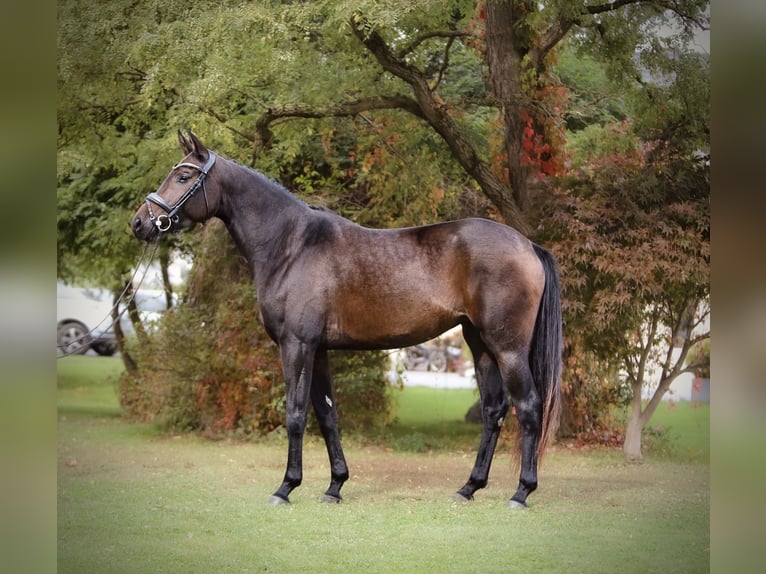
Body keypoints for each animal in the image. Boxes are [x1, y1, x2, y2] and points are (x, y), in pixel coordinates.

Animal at [132, 130, 564, 508]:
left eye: (183, 176)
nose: (140, 223)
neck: (292, 245)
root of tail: (528, 245)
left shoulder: (296, 346)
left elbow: (295, 414)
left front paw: (286, 488)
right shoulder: (318, 349)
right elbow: (327, 415)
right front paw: (335, 486)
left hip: (507, 348)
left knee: (528, 407)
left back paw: (521, 493)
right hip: (480, 343)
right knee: (493, 410)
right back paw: (469, 488)